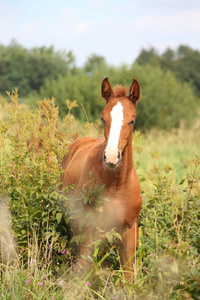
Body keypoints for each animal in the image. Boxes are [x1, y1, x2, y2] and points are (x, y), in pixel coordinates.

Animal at [62, 77, 142, 278]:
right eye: (103, 118)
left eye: (132, 121)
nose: (111, 157)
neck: (118, 185)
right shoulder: (89, 228)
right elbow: (84, 269)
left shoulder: (129, 230)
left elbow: (128, 275)